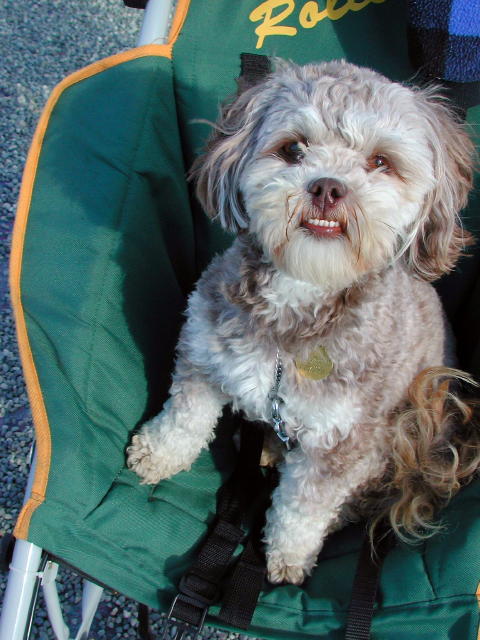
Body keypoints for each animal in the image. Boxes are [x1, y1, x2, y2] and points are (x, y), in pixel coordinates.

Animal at [127, 60, 480, 584]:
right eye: (293, 148)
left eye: (381, 161)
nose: (328, 187)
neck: (296, 303)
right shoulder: (203, 354)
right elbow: (185, 417)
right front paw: (158, 453)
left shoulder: (343, 440)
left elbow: (304, 505)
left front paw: (289, 554)